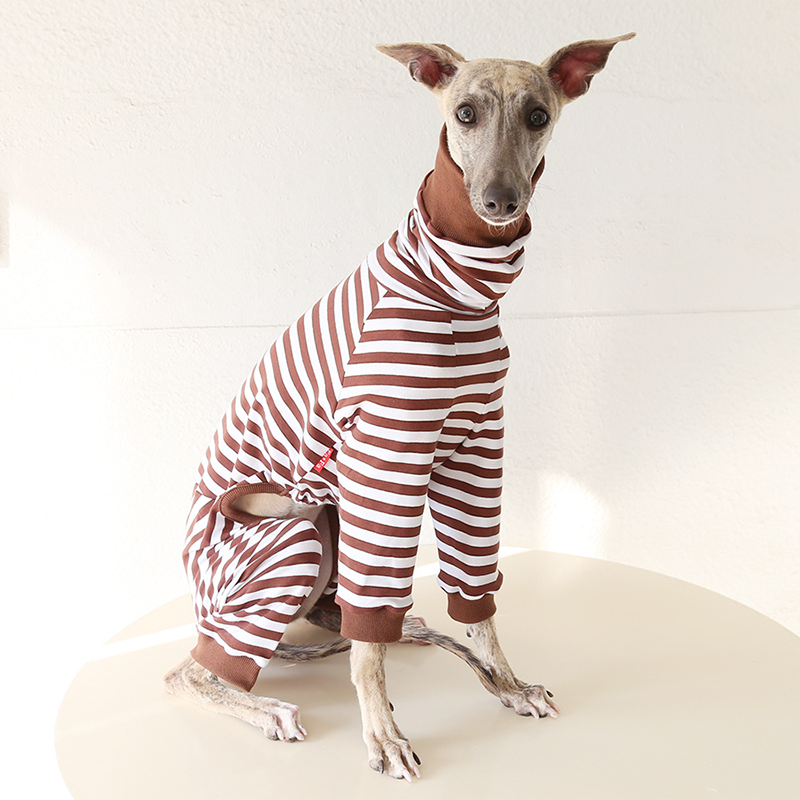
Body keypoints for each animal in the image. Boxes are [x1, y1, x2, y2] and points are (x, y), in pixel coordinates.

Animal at [164, 34, 634, 781]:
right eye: (465, 112)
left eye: (537, 115)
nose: (499, 201)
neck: (458, 286)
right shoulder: (387, 457)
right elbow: (369, 653)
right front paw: (383, 735)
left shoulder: (475, 451)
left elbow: (476, 604)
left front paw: (507, 683)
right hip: (288, 536)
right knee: (193, 670)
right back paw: (267, 707)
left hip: (327, 524)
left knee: (342, 619)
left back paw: (406, 629)